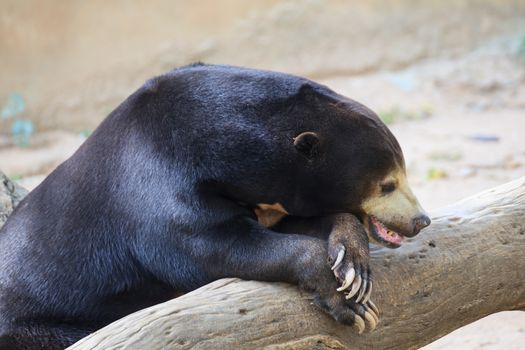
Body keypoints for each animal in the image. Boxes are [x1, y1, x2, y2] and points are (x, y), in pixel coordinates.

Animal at [0, 64, 428, 348]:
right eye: (387, 184)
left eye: (401, 172)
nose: (419, 220)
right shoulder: (161, 188)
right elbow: (211, 247)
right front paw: (352, 307)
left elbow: (293, 223)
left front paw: (353, 268)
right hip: (38, 323)